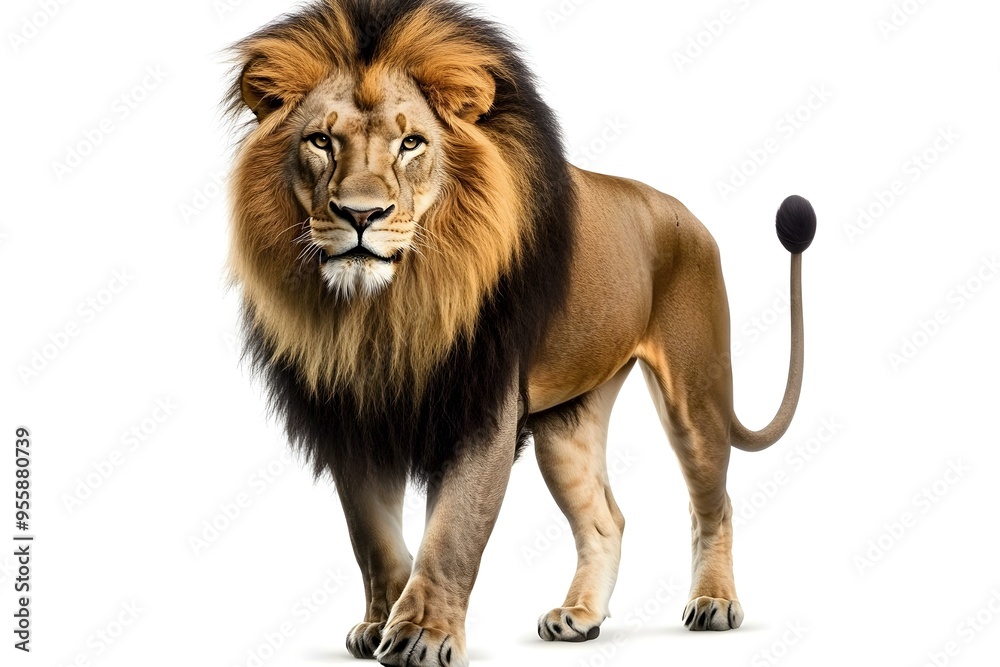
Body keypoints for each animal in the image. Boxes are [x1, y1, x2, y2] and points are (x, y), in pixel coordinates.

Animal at [225, 1, 816, 665]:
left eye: (411, 143)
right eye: (321, 141)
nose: (360, 214)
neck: (383, 311)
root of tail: (686, 214)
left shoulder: (482, 406)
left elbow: (453, 531)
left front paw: (423, 633)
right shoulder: (351, 419)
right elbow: (372, 539)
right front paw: (380, 623)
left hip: (695, 393)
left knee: (715, 504)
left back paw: (714, 602)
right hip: (567, 425)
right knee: (605, 518)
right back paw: (580, 617)